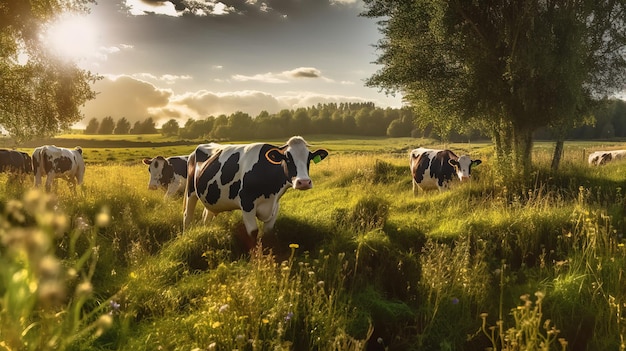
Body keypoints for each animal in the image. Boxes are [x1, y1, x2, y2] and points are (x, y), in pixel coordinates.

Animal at [183, 137, 330, 250]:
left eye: (309, 158)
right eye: (287, 158)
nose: (304, 182)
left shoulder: (275, 206)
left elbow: (268, 233)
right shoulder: (247, 203)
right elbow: (253, 232)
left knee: (206, 217)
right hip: (191, 192)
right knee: (187, 215)